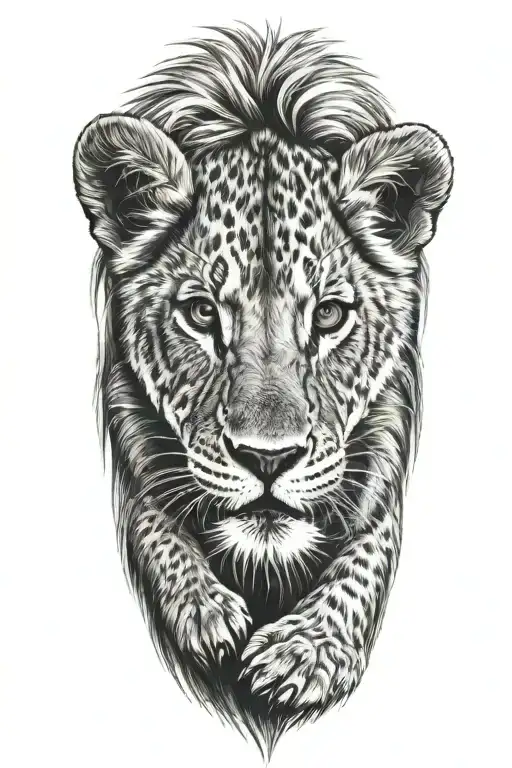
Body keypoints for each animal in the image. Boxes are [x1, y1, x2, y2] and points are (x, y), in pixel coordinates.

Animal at [73, 24, 453, 759]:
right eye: (201, 314)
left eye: (328, 317)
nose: (268, 459)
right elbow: (151, 515)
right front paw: (205, 612)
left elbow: (371, 548)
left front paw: (304, 653)